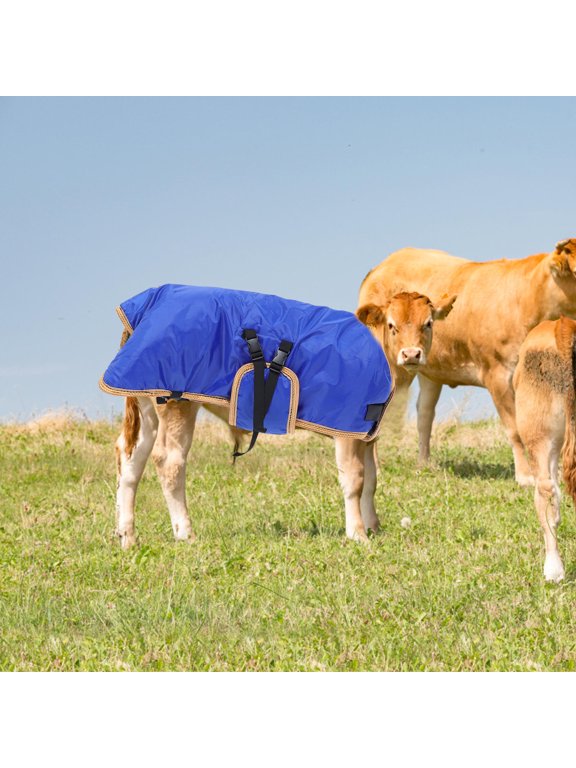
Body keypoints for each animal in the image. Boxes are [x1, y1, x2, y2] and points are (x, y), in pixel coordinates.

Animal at [113, 291, 455, 548]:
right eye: (392, 325)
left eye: (427, 324)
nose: (411, 355)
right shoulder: (346, 428)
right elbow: (355, 480)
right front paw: (357, 533)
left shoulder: (367, 433)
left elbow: (371, 480)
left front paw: (373, 526)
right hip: (177, 402)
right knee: (169, 461)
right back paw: (186, 533)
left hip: (146, 403)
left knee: (131, 458)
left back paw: (127, 536)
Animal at [359, 239, 576, 486]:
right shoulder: (498, 374)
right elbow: (515, 429)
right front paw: (526, 476)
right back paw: (376, 468)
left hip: (428, 369)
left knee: (425, 414)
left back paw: (424, 464)